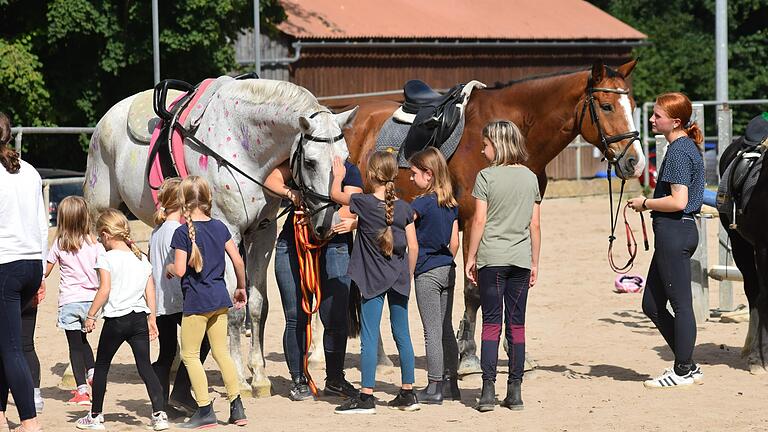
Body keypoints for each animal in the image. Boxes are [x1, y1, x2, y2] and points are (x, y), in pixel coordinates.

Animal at [82, 76, 358, 396]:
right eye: (311, 162)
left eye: (345, 160)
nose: (327, 224)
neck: (244, 146)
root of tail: (107, 118)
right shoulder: (228, 232)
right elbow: (234, 307)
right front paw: (239, 377)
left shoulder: (262, 234)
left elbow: (256, 305)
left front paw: (259, 376)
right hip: (99, 211)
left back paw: (174, 361)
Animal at [344, 58, 644, 374]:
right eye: (607, 106)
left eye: (633, 104)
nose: (635, 162)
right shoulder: (472, 222)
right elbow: (474, 290)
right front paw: (468, 356)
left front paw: (514, 350)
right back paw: (378, 359)